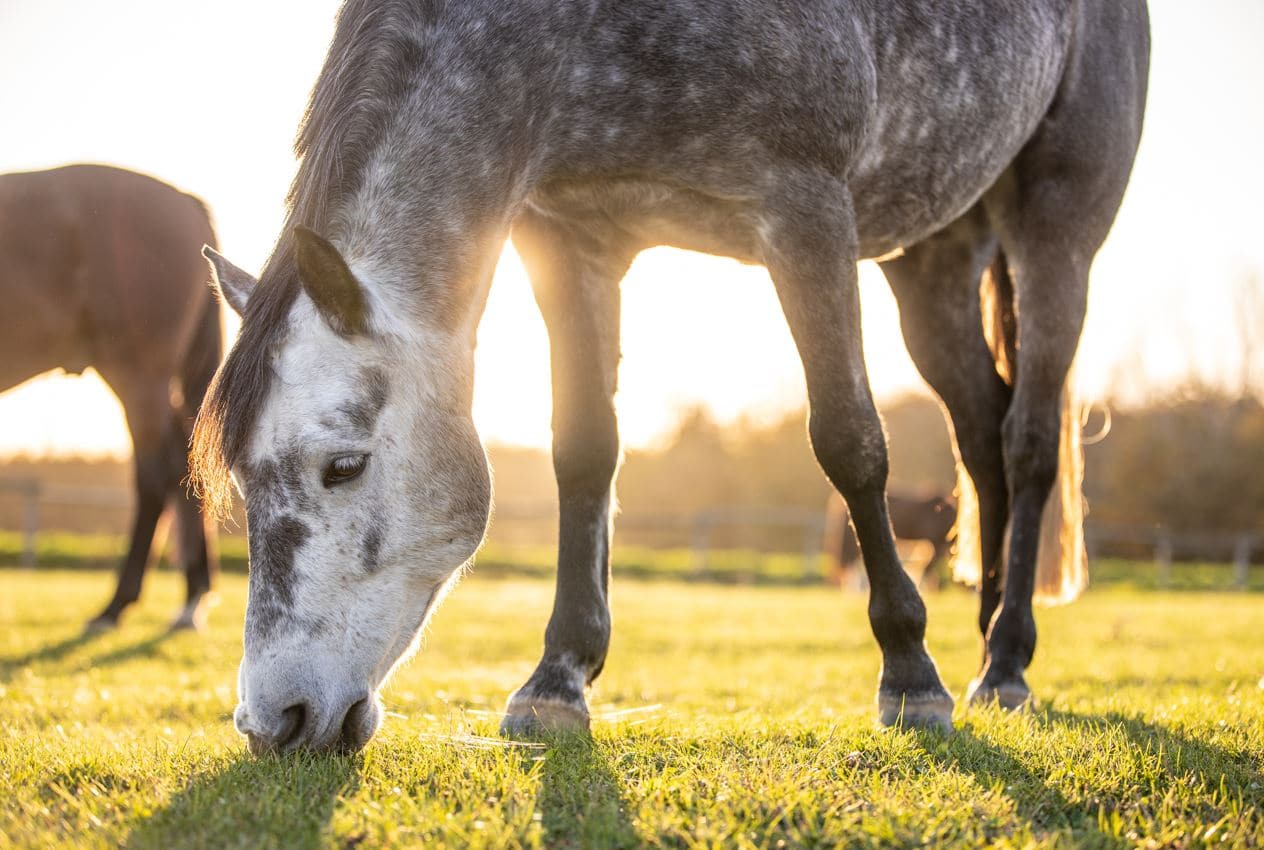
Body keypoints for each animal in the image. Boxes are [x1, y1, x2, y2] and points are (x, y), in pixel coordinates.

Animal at [194, 1, 1147, 758]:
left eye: (343, 465)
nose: (273, 720)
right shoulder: (569, 238)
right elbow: (585, 452)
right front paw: (557, 681)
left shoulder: (805, 210)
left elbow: (848, 441)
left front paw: (911, 677)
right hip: (934, 255)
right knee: (981, 433)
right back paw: (988, 635)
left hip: (1056, 224)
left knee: (1027, 441)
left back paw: (1006, 661)